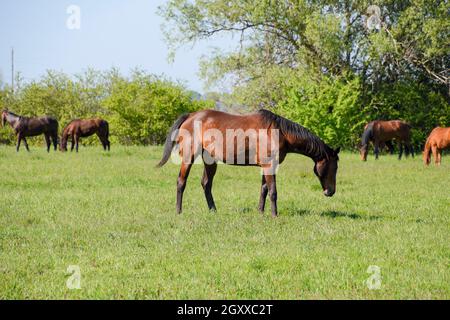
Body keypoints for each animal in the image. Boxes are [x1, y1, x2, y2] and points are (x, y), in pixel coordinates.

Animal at [156, 109, 340, 218]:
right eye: (334, 167)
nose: (330, 192)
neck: (279, 132)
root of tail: (190, 116)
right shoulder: (269, 166)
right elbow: (273, 191)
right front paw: (274, 215)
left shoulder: (266, 167)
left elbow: (264, 189)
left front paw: (260, 212)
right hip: (188, 157)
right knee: (181, 182)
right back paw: (179, 211)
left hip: (210, 160)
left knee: (206, 184)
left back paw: (213, 210)